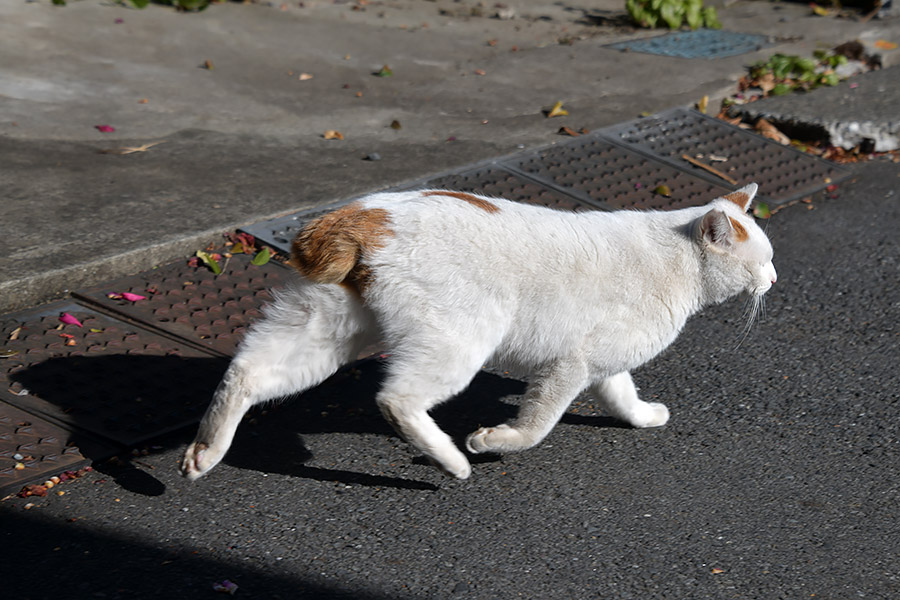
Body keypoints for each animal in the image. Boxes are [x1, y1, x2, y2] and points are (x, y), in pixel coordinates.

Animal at [181, 183, 772, 478]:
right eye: (762, 261)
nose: (773, 279)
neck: (679, 260)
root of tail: (360, 214)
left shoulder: (603, 365)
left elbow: (623, 396)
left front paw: (645, 417)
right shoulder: (571, 365)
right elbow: (537, 425)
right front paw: (495, 440)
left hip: (326, 331)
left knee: (246, 371)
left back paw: (204, 454)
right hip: (460, 340)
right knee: (395, 399)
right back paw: (454, 461)